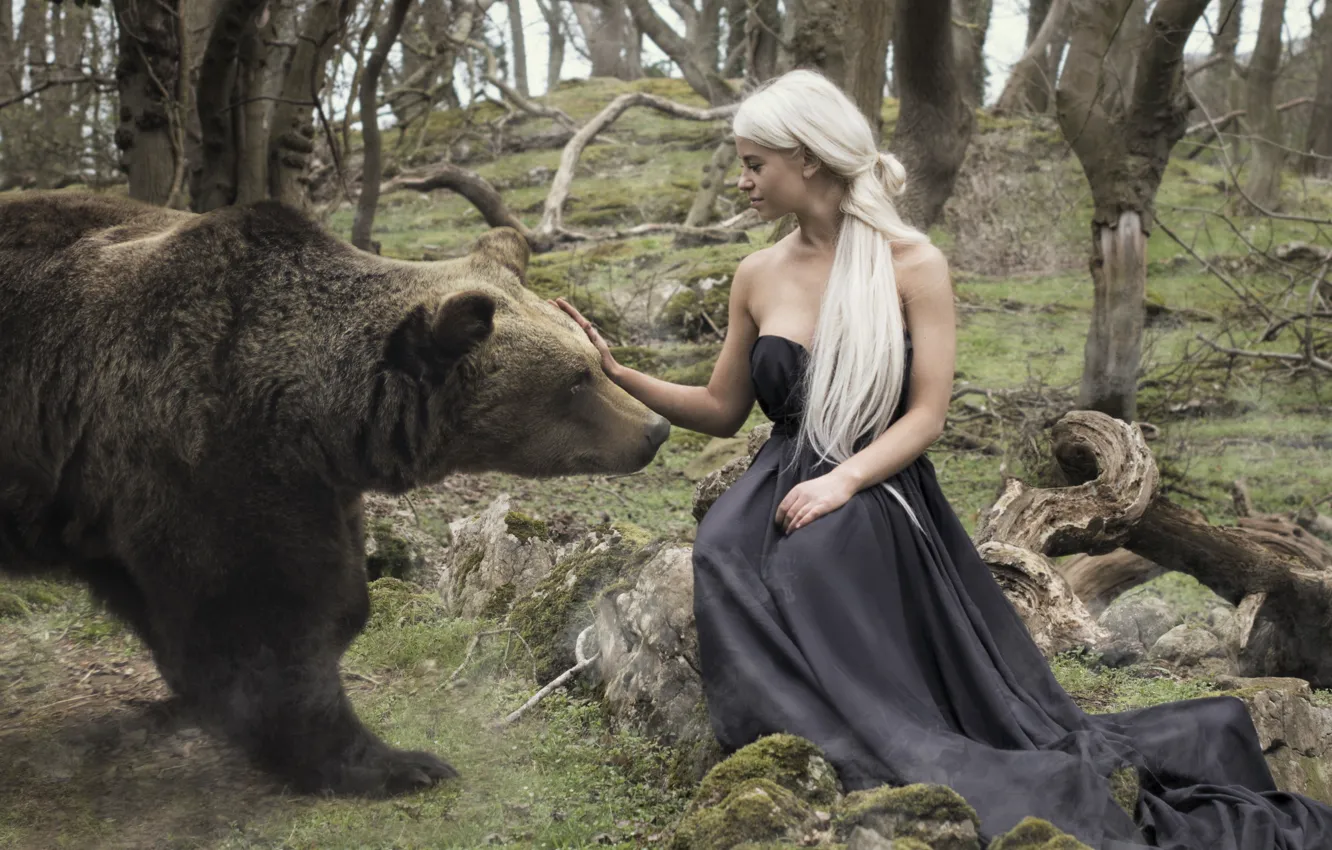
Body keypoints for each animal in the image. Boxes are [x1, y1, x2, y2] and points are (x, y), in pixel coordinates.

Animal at [0, 191, 670, 796]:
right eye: (575, 381)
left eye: (592, 359)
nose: (654, 429)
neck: (315, 417)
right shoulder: (201, 463)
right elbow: (266, 621)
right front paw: (393, 762)